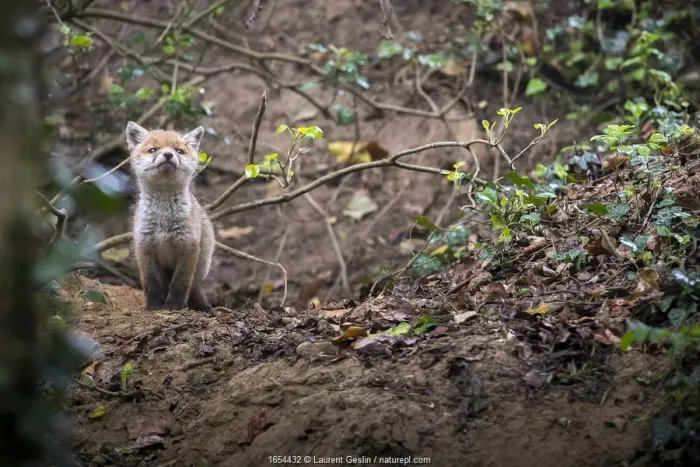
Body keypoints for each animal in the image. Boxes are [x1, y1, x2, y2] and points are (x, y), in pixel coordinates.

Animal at [125, 121, 215, 314]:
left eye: (179, 151)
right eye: (153, 150)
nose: (168, 154)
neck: (163, 220)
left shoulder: (188, 248)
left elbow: (180, 284)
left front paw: (174, 306)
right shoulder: (144, 247)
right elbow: (152, 285)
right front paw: (154, 306)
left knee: (192, 288)